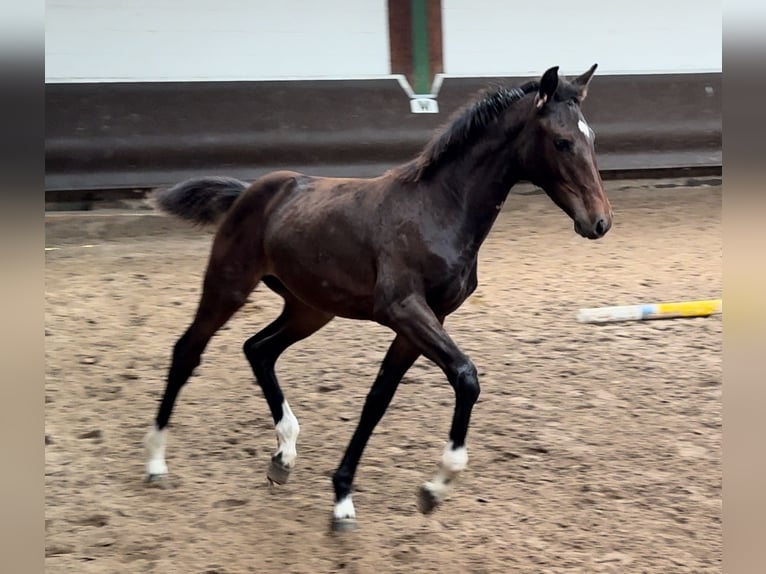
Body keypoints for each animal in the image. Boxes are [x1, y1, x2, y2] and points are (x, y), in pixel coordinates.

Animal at [142, 63, 612, 532]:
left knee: (258, 349)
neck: (438, 208)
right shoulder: (403, 308)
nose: (600, 221)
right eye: (562, 141)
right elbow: (465, 375)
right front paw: (435, 486)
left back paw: (283, 456)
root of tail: (248, 191)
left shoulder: (426, 319)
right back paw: (155, 463)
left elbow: (378, 398)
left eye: (591, 137)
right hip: (229, 284)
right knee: (188, 350)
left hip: (309, 308)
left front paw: (343, 497)